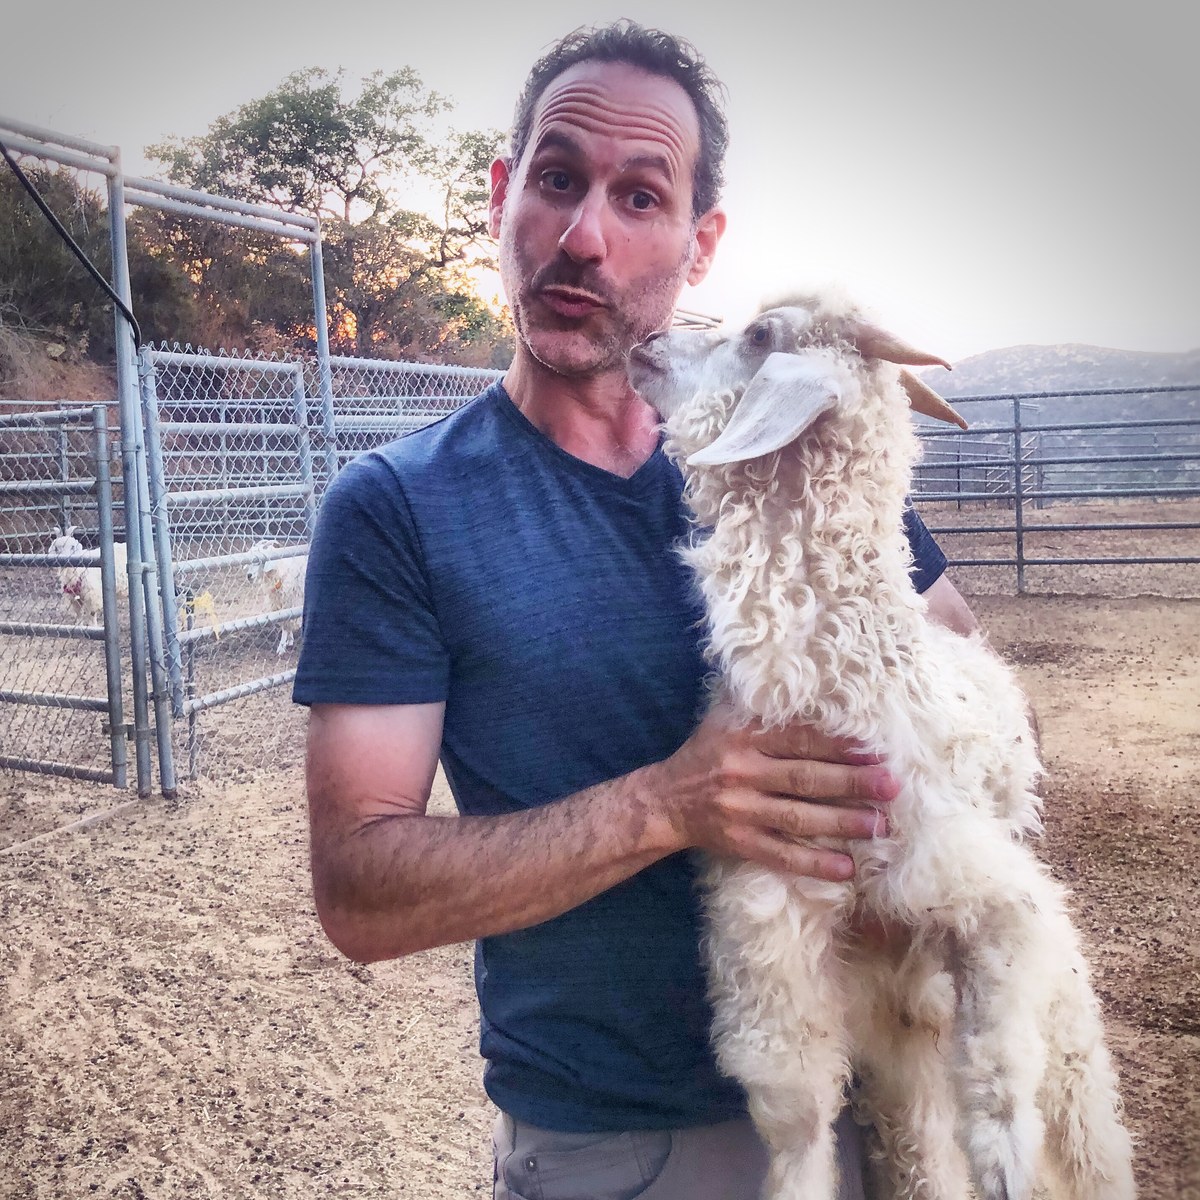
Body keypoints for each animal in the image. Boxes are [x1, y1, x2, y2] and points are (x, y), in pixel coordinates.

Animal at [626, 292, 1135, 1200]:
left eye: (760, 334)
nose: (646, 340)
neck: (855, 690)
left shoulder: (996, 901)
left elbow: (1003, 1090)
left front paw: (1006, 1165)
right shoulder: (772, 929)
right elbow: (796, 1121)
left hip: (1043, 1005)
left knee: (1079, 1124)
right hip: (899, 1021)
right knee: (921, 1136)